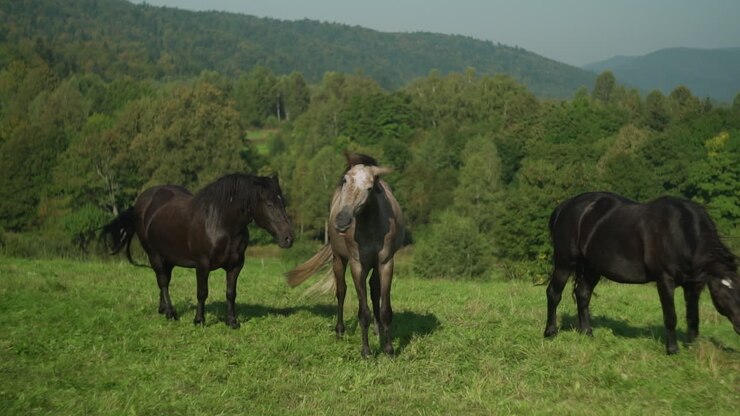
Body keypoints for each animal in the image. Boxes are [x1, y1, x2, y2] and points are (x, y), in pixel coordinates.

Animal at [101, 174, 294, 328]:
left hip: (169, 257)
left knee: (164, 279)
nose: (289, 238)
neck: (220, 222)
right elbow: (202, 292)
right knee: (162, 281)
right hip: (154, 254)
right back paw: (171, 313)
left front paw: (232, 322)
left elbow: (231, 293)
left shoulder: (236, 265)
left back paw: (162, 309)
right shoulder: (202, 264)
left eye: (283, 202)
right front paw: (199, 320)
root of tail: (142, 201)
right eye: (269, 204)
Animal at [286, 152, 405, 357]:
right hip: (339, 260)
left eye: (370, 187)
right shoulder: (357, 265)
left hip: (373, 266)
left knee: (374, 291)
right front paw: (366, 352)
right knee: (341, 291)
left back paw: (378, 330)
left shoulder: (386, 264)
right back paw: (340, 331)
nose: (341, 221)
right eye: (345, 180)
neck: (372, 225)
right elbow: (363, 311)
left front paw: (388, 349)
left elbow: (385, 309)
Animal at [543, 191, 740, 354]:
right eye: (724, 290)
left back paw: (587, 332)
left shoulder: (694, 285)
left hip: (592, 267)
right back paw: (550, 332)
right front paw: (672, 349)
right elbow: (671, 316)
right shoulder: (664, 280)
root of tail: (564, 207)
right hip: (564, 263)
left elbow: (693, 318)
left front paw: (693, 348)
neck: (681, 233)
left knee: (582, 294)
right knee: (554, 293)